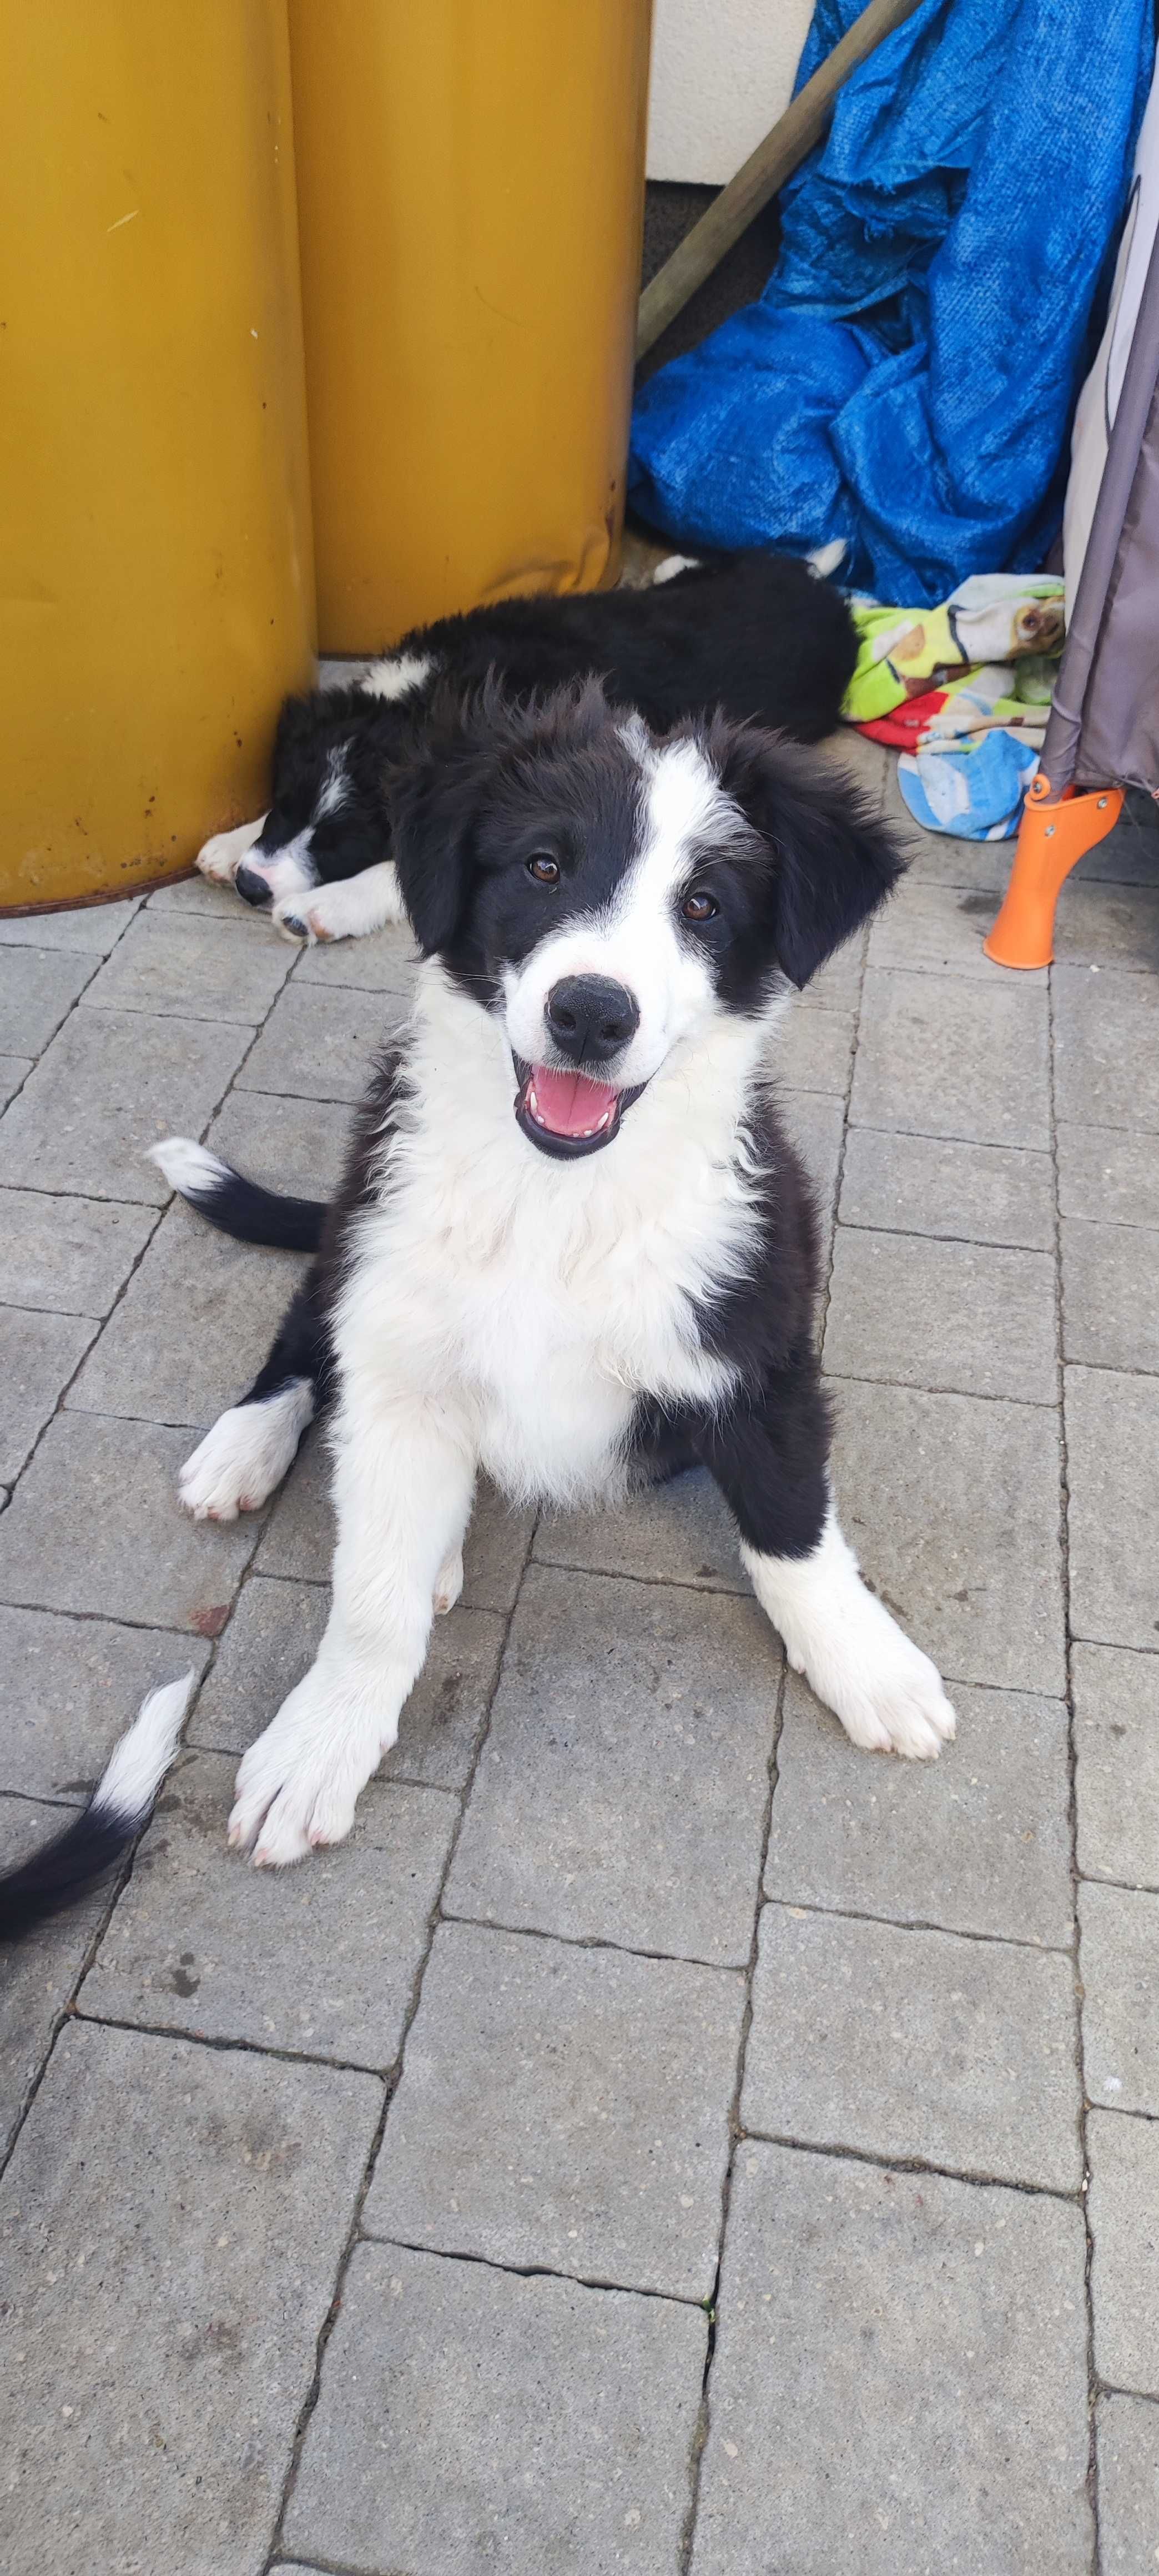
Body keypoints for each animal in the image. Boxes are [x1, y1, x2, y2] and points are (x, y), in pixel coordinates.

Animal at [152, 685, 953, 1875]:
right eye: (541, 867)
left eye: (704, 905)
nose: (590, 1013)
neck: (556, 1201)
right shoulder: (397, 1333)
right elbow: (371, 1602)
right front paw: (321, 1740)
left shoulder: (753, 1347)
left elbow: (792, 1526)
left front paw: (868, 1664)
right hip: (359, 1237)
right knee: (308, 1336)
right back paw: (248, 1450)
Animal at [194, 549, 855, 953]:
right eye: (282, 801)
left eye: (343, 842)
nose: (253, 885)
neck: (433, 689)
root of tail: (822, 593)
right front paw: (231, 844)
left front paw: (324, 906)